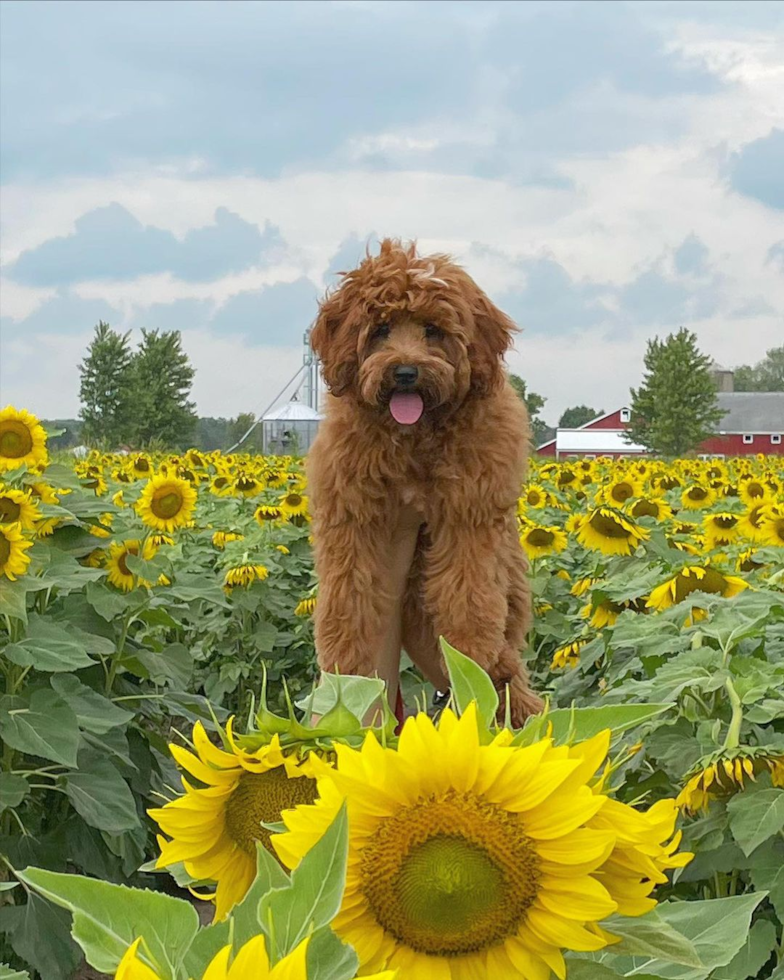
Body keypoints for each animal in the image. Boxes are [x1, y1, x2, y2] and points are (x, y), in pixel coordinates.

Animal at [306, 238, 544, 728]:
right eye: (380, 329)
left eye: (433, 330)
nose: (405, 372)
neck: (414, 439)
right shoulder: (352, 516)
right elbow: (347, 604)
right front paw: (344, 678)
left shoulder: (468, 517)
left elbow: (468, 602)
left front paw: (470, 659)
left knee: (509, 672)